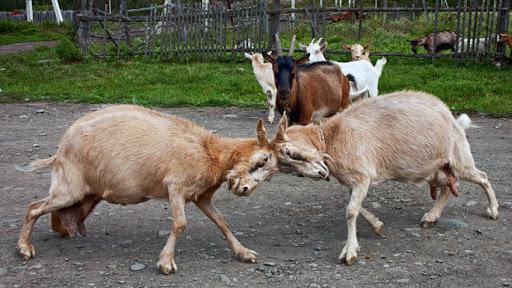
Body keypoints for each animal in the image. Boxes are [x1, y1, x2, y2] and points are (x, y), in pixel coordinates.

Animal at [17, 105, 280, 274]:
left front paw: (243, 253)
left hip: (86, 196)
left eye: (271, 173)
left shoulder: (201, 196)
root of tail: (60, 151)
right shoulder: (176, 187)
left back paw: (60, 229)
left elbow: (222, 222)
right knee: (33, 207)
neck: (211, 153)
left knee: (55, 212)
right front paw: (166, 262)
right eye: (262, 159)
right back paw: (25, 248)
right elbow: (180, 224)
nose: (245, 189)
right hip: (70, 188)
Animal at [272, 91, 500, 266]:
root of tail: (454, 120)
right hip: (434, 168)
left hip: (458, 160)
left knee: (483, 177)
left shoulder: (362, 176)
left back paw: (493, 210)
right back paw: (431, 217)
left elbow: (351, 211)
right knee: (446, 189)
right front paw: (377, 226)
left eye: (292, 153)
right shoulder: (356, 181)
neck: (332, 137)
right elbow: (357, 207)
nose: (319, 174)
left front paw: (350, 251)